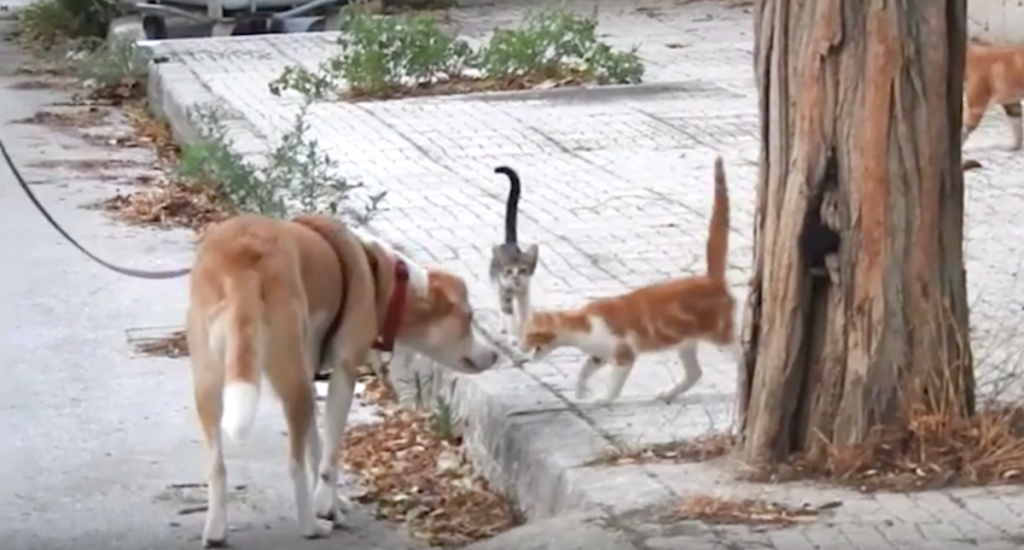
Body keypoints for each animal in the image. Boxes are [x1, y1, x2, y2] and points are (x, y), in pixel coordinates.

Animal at [187, 213, 499, 544]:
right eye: (468, 318)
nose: (494, 355)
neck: (383, 279)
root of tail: (244, 257)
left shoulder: (311, 377)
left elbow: (316, 446)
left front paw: (331, 501)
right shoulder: (343, 374)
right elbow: (330, 455)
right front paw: (326, 507)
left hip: (211, 384)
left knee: (218, 467)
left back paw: (216, 531)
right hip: (293, 383)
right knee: (293, 466)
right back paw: (311, 526)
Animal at [520, 156, 737, 405]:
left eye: (527, 337)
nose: (519, 348)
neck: (582, 325)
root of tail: (712, 279)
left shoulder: (624, 354)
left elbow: (615, 383)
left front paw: (604, 399)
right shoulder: (599, 355)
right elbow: (583, 371)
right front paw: (581, 391)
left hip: (720, 333)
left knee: (741, 351)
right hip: (684, 339)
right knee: (695, 373)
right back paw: (669, 393)